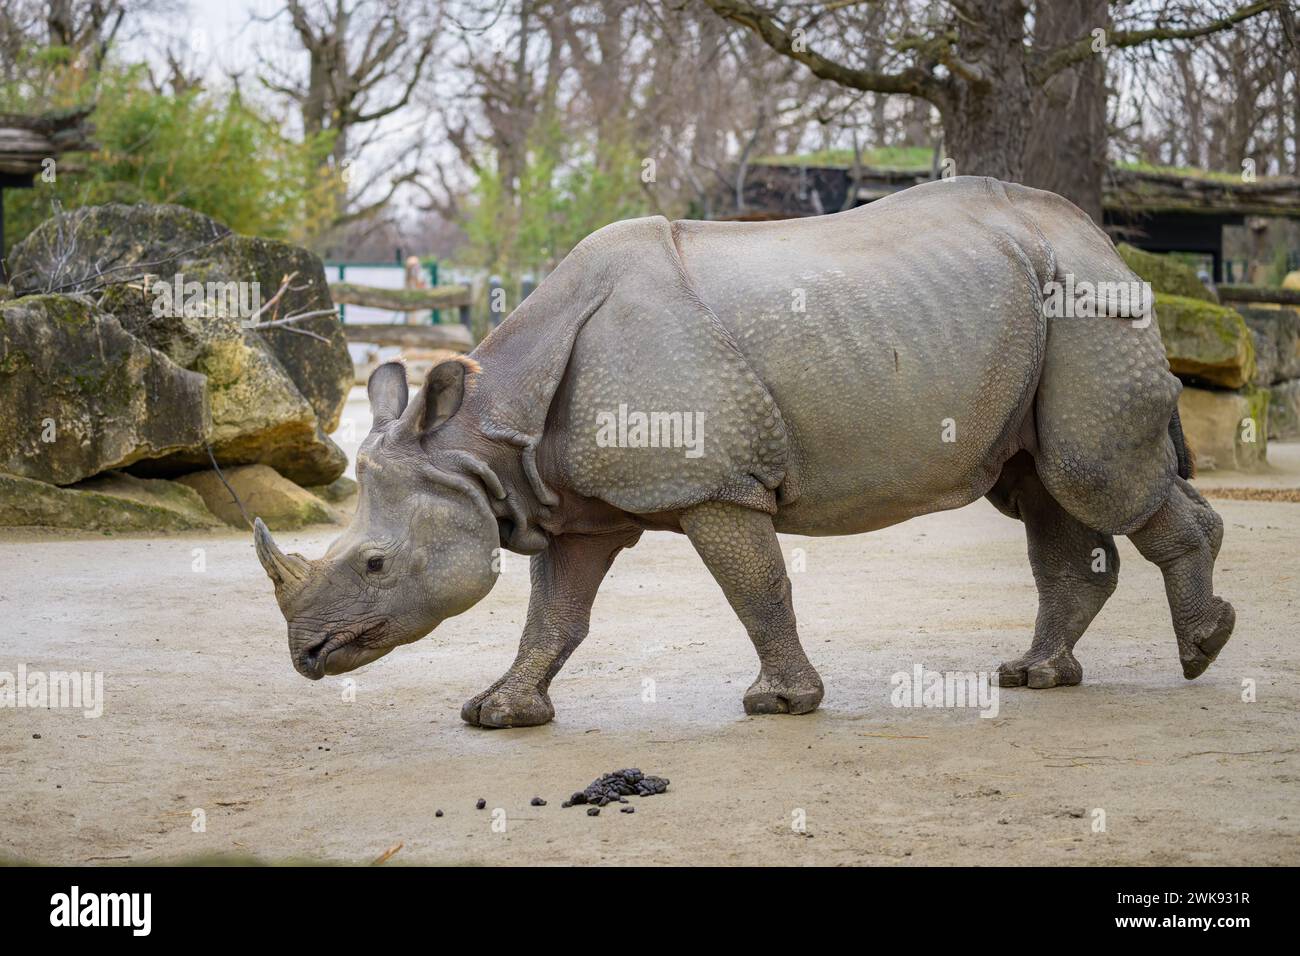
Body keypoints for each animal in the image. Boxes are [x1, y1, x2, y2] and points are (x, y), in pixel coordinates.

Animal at [256, 177, 1235, 728]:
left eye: (375, 565)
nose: (306, 656)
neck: (481, 441)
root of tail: (1100, 239)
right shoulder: (571, 506)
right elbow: (554, 617)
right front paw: (500, 714)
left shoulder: (712, 483)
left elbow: (754, 586)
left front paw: (781, 705)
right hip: (1039, 306)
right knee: (1042, 491)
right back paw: (1037, 679)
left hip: (1087, 310)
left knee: (1091, 478)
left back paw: (1201, 651)